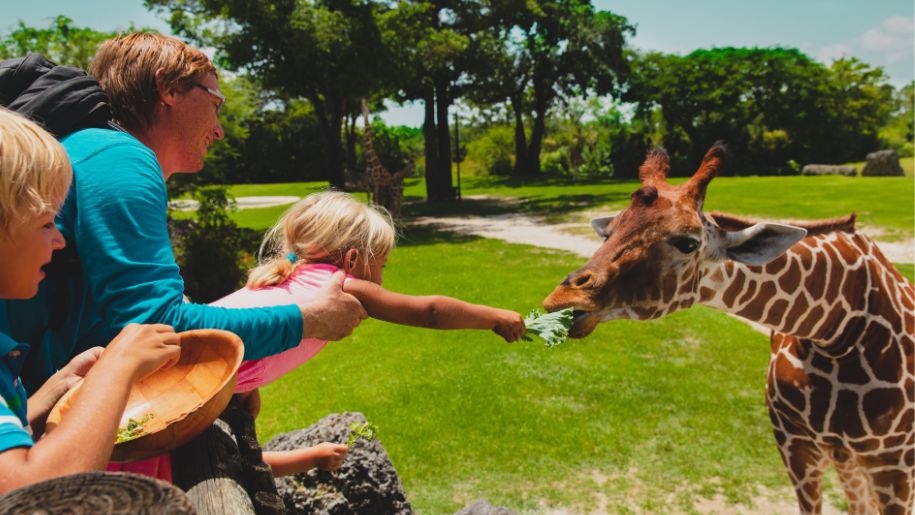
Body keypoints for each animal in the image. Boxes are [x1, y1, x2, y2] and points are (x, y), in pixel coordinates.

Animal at [543, 143, 914, 514]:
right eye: (609, 233)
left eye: (688, 243)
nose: (562, 297)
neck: (837, 327)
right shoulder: (793, 442)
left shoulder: (893, 459)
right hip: (846, 459)